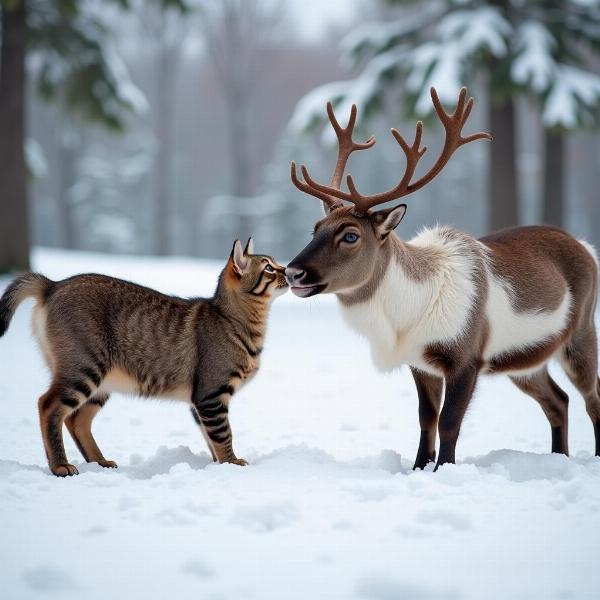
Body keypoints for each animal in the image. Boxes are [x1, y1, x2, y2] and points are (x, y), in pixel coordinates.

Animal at [0, 237, 288, 476]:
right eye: (269, 268)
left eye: (276, 264)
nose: (287, 270)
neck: (234, 319)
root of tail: (53, 285)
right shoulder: (211, 395)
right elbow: (223, 436)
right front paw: (232, 464)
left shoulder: (199, 403)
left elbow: (211, 440)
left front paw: (218, 465)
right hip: (84, 368)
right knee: (48, 406)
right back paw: (60, 465)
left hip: (101, 383)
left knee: (75, 419)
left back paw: (99, 462)